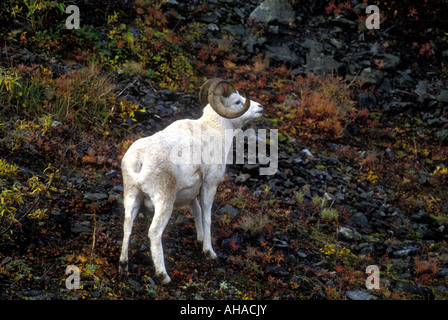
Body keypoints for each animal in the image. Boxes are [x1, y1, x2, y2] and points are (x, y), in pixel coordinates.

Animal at [119, 79, 264, 284]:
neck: (216, 129)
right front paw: (209, 252)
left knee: (127, 225)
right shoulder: (209, 186)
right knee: (154, 232)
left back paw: (123, 265)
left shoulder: (192, 193)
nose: (260, 108)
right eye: (237, 101)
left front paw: (200, 240)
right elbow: (206, 217)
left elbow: (196, 212)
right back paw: (163, 276)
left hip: (132, 196)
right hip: (164, 202)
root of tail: (140, 159)